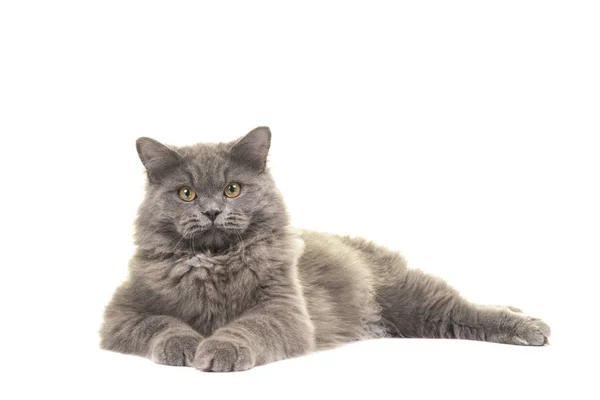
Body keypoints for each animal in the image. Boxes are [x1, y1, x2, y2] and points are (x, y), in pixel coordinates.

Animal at [99, 127, 552, 372]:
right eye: (186, 194)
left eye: (232, 189)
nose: (212, 212)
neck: (215, 261)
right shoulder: (122, 314)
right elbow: (162, 324)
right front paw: (186, 345)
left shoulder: (283, 310)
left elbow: (247, 328)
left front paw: (218, 349)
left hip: (413, 299)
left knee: (464, 308)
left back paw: (531, 326)